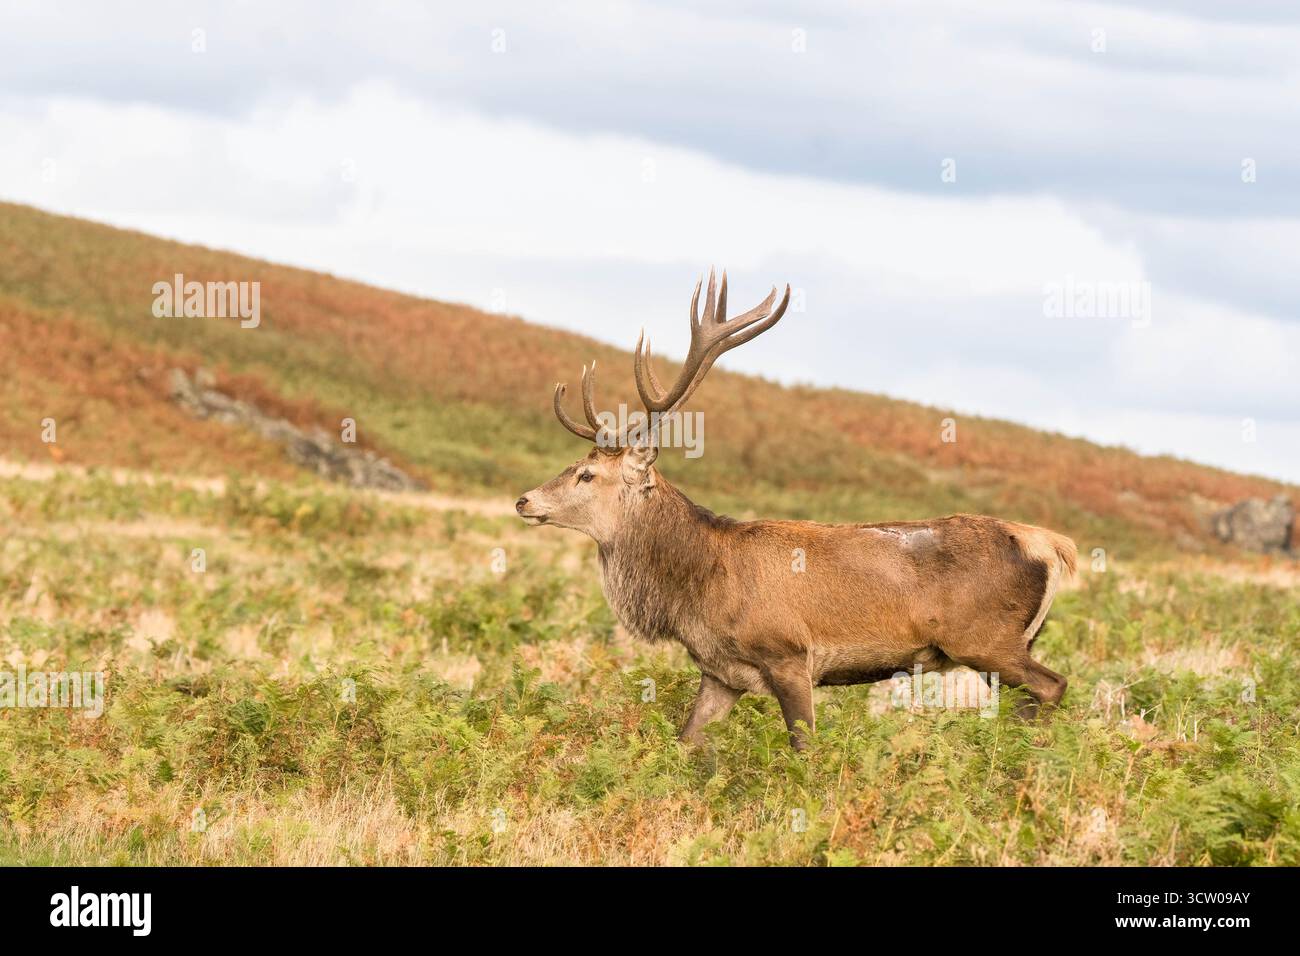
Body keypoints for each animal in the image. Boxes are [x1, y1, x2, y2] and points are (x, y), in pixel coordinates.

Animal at [516, 270, 1076, 749]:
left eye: (587, 474)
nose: (524, 499)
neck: (696, 590)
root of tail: (1050, 544)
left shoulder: (789, 653)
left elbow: (804, 747)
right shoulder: (720, 672)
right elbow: (686, 741)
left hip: (985, 639)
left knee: (1052, 685)